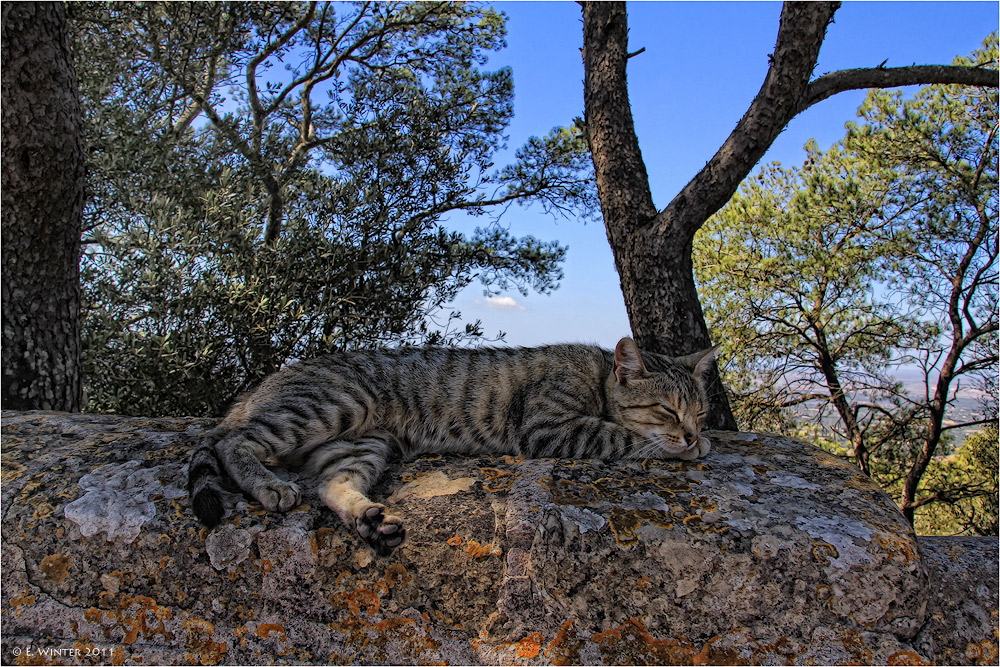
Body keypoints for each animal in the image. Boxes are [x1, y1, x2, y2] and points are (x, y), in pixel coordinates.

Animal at [188, 340, 716, 552]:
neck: (598, 373)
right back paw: (267, 484)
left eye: (702, 411)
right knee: (233, 441)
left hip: (361, 443)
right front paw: (686, 448)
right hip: (331, 405)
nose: (693, 432)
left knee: (330, 484)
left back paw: (368, 519)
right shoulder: (548, 426)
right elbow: (622, 434)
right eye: (669, 411)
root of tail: (256, 389)